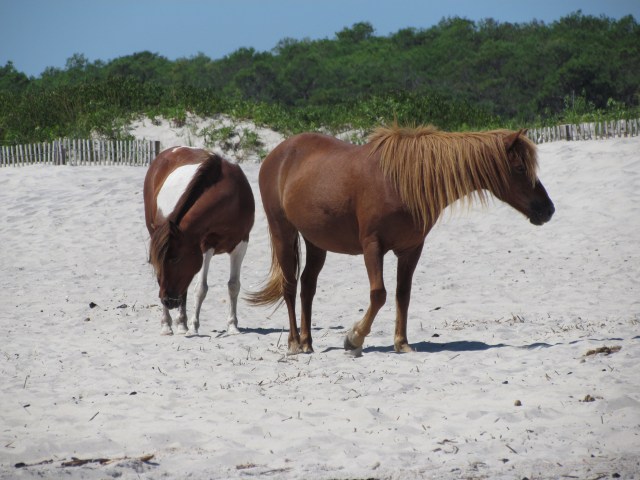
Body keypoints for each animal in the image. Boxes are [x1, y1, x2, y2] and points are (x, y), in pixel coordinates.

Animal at [144, 146, 255, 335]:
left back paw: (181, 324)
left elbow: (233, 285)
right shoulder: (205, 246)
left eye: (175, 258)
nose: (167, 301)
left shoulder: (241, 244)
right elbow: (201, 289)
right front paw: (194, 326)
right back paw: (167, 325)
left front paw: (232, 326)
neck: (231, 201)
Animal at [248, 125, 555, 354]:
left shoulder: (410, 250)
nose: (548, 209)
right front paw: (354, 338)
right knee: (289, 286)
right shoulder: (373, 247)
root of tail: (276, 155)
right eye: (519, 168)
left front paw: (402, 343)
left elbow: (402, 294)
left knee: (307, 286)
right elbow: (379, 294)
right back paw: (294, 344)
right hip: (283, 232)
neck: (401, 182)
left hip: (316, 242)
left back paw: (307, 342)